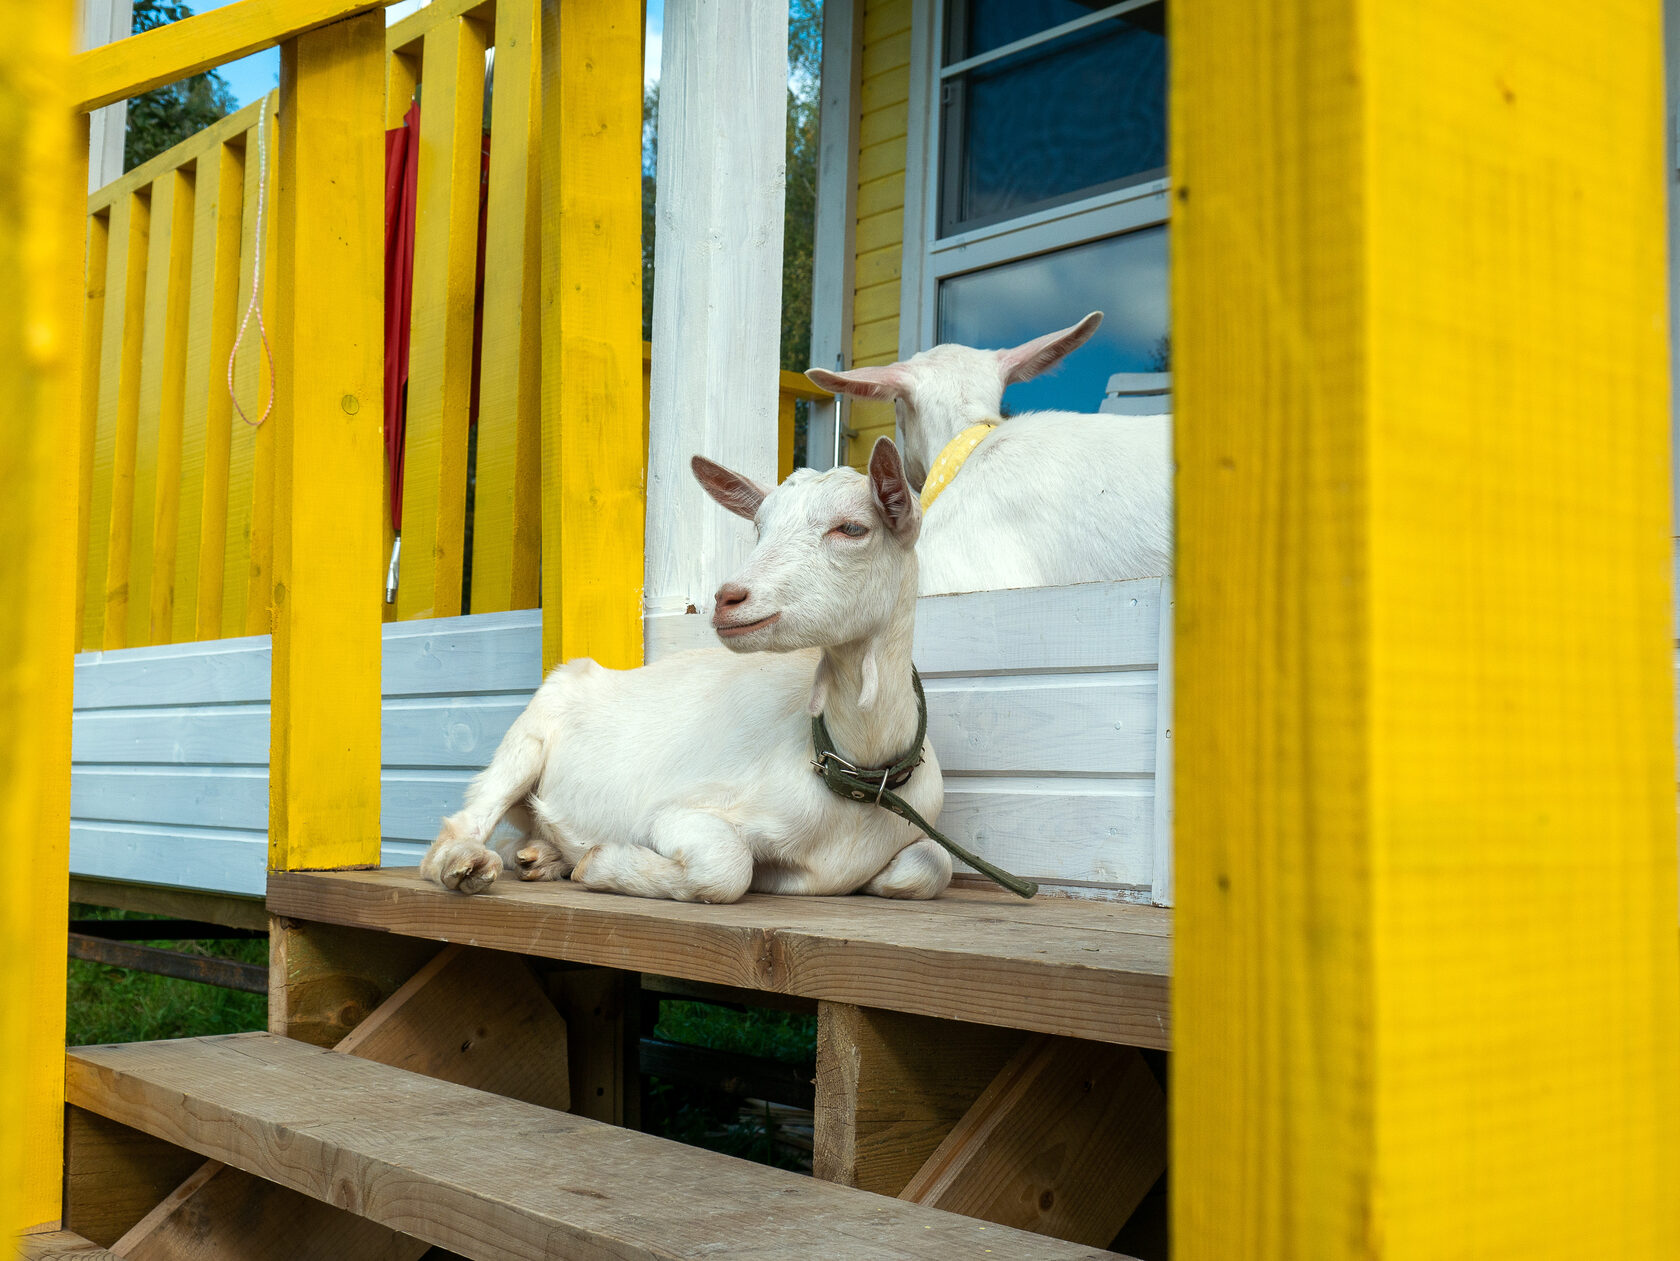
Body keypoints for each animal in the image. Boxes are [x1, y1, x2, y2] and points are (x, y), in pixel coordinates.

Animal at [414, 439, 954, 899]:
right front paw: (600, 863)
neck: (855, 767)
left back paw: (540, 858)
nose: (728, 597)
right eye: (759, 528)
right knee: (459, 826)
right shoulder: (679, 812)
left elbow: (934, 864)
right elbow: (727, 867)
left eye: (852, 528)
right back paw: (468, 864)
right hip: (527, 736)